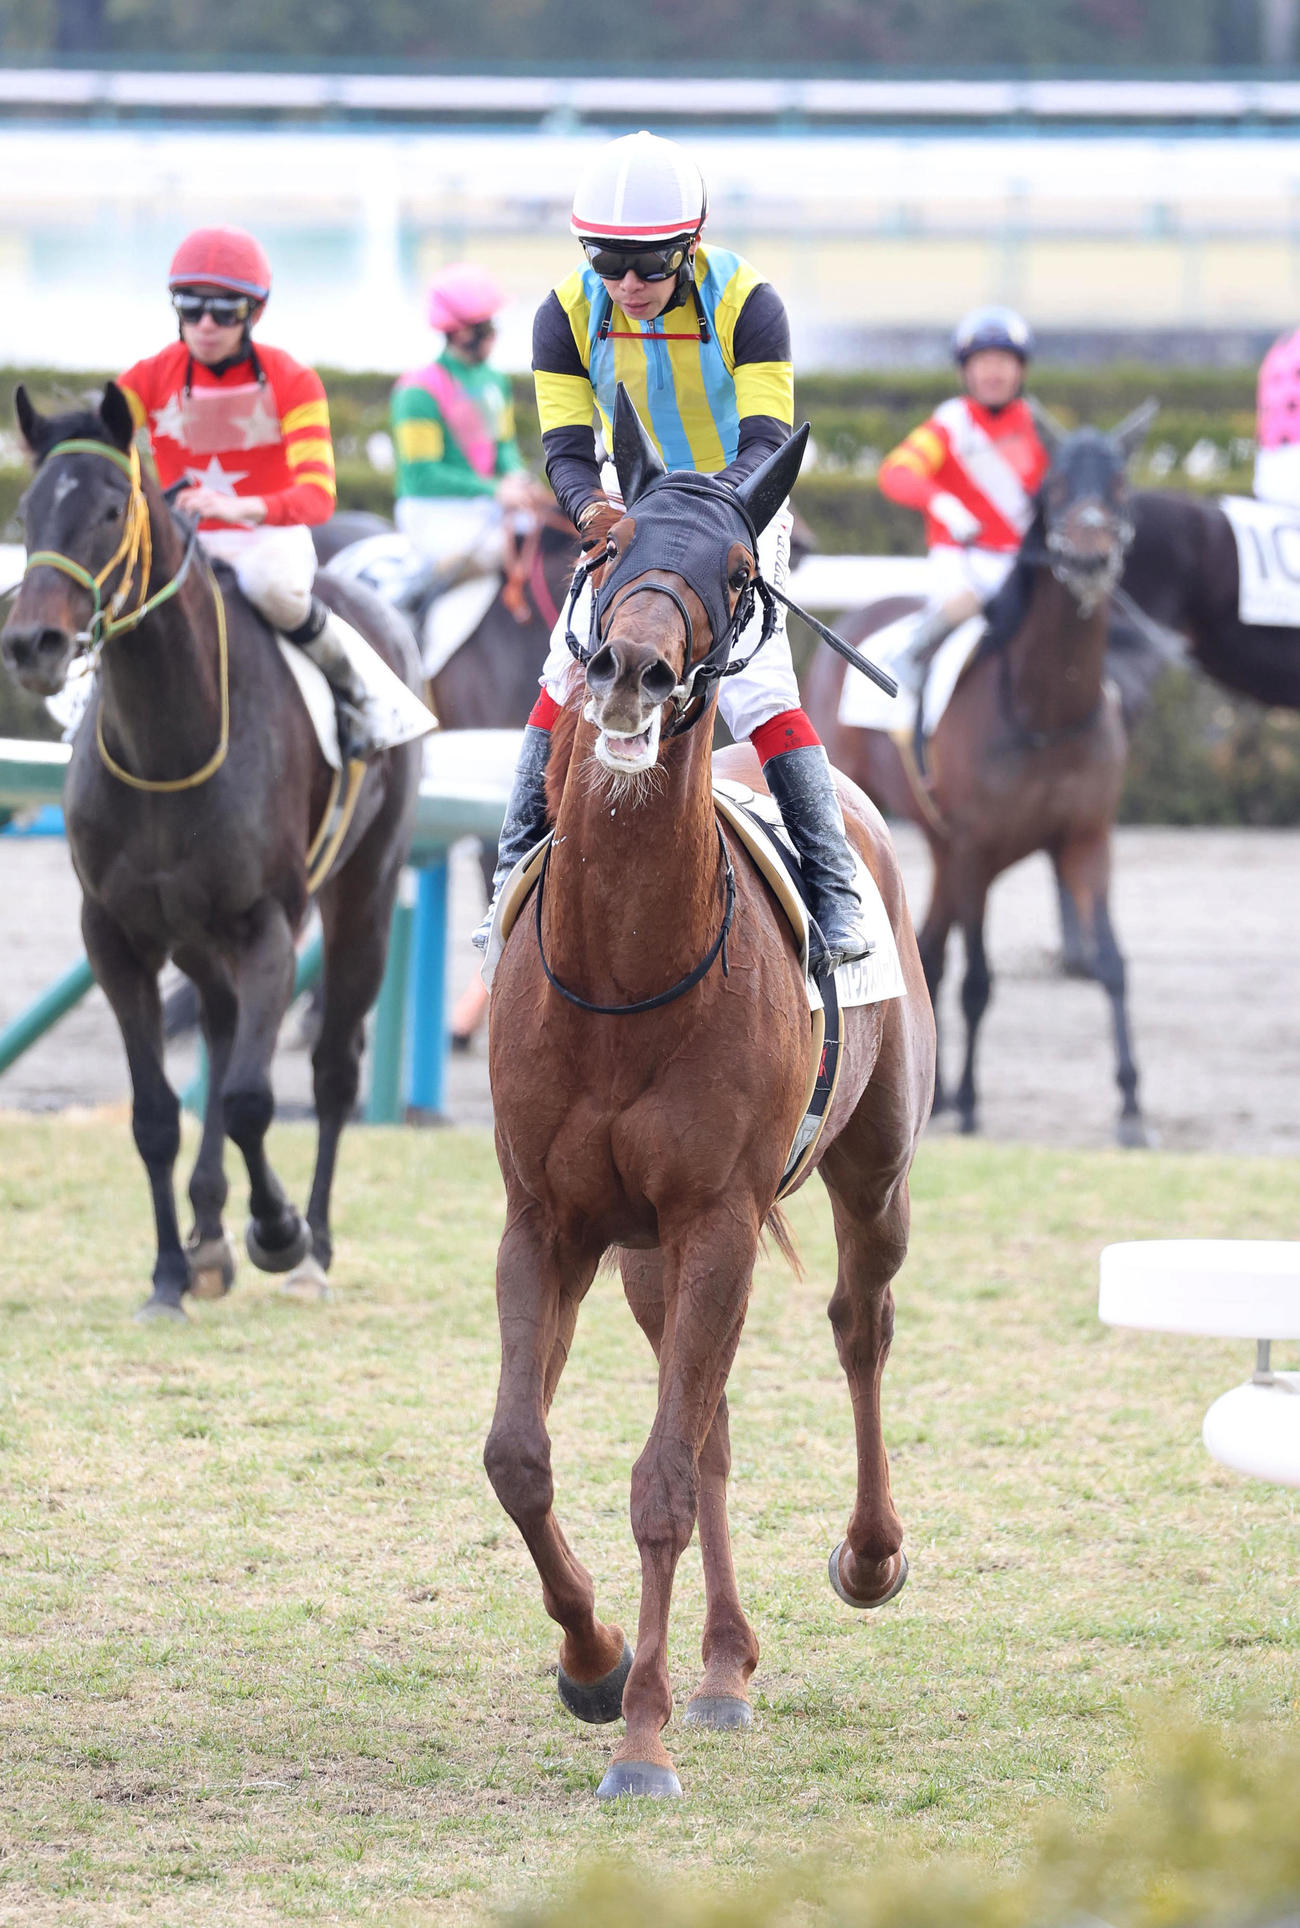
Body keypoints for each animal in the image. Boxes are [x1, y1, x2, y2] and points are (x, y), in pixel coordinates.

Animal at [1, 384, 424, 1318]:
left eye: (111, 509)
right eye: (25, 510)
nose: (31, 644)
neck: (170, 743)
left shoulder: (267, 925)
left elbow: (252, 1100)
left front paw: (279, 1230)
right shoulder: (115, 936)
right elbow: (157, 1113)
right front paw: (169, 1271)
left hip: (365, 894)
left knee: (332, 1068)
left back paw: (311, 1249)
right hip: (197, 937)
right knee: (226, 1028)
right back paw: (205, 1234)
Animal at [483, 389, 935, 1802]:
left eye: (737, 572)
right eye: (605, 544)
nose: (631, 670)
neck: (624, 971)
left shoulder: (721, 1215)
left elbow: (662, 1482)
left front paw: (639, 1735)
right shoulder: (550, 1221)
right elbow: (522, 1457)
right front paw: (593, 1662)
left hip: (870, 1173)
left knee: (859, 1325)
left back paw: (867, 1554)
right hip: (648, 1256)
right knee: (718, 1412)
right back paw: (723, 1664)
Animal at [806, 412, 1150, 1147]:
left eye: (1119, 482)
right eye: (1056, 483)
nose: (1087, 559)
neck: (1047, 709)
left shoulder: (1085, 840)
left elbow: (1111, 964)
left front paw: (1132, 1104)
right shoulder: (976, 848)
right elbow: (979, 980)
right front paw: (965, 1102)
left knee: (928, 950)